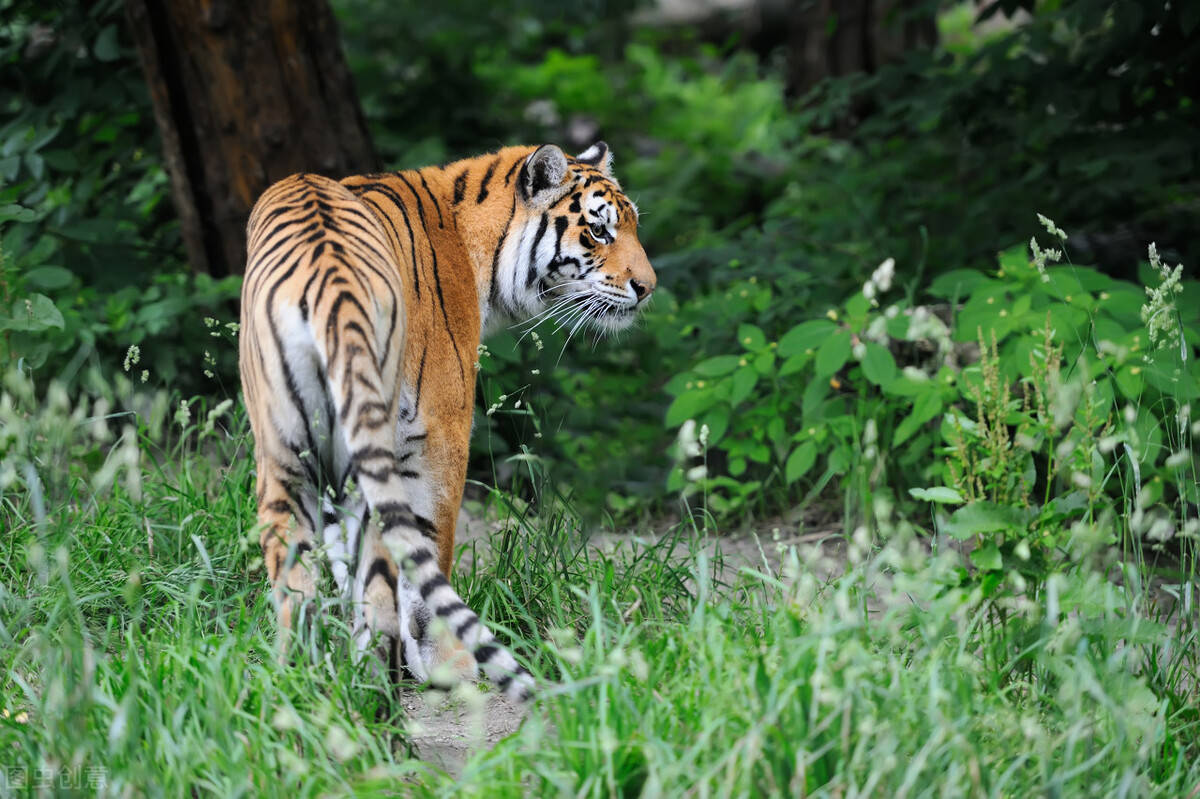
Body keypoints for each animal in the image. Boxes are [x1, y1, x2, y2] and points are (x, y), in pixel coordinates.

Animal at [237, 141, 657, 695]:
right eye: (599, 231)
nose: (648, 287)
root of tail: (326, 271)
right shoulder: (440, 431)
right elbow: (430, 544)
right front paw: (443, 660)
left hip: (282, 451)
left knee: (296, 588)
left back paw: (301, 688)